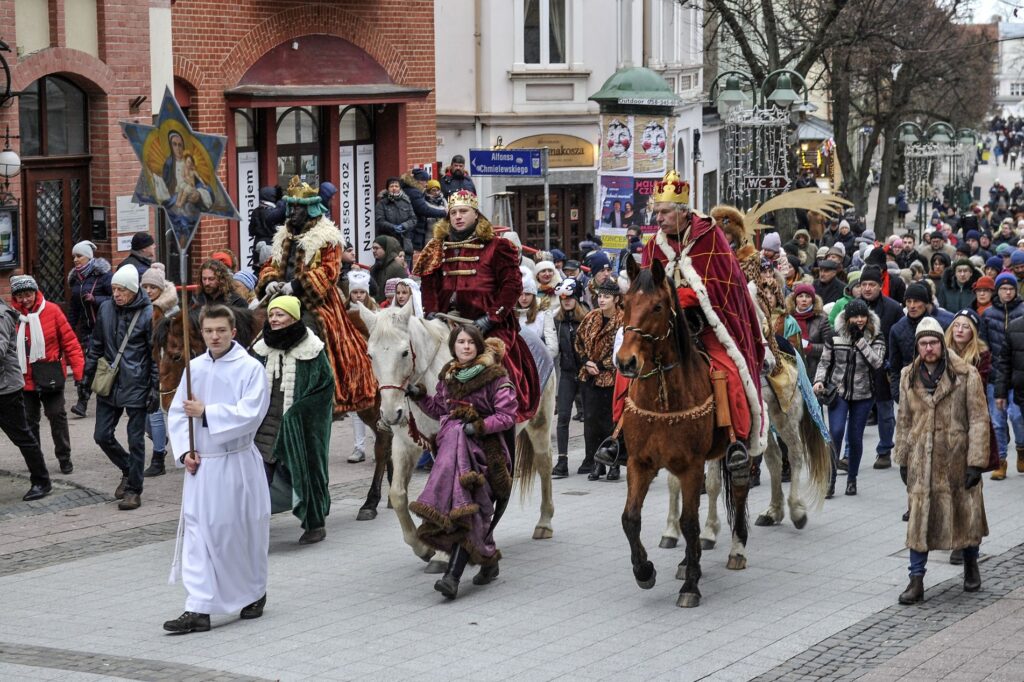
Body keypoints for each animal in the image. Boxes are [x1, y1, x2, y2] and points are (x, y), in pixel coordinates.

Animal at [358, 301, 557, 569]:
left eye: (404, 353)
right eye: (371, 355)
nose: (390, 414)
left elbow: (445, 491)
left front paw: (443, 552)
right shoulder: (404, 445)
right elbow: (398, 495)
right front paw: (422, 547)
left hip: (540, 422)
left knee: (544, 464)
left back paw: (544, 522)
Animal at [614, 253, 753, 606]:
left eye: (657, 307)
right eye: (624, 303)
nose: (626, 362)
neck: (664, 397)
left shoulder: (691, 464)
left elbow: (690, 523)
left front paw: (691, 585)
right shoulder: (640, 462)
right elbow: (630, 518)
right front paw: (644, 571)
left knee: (740, 488)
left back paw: (736, 550)